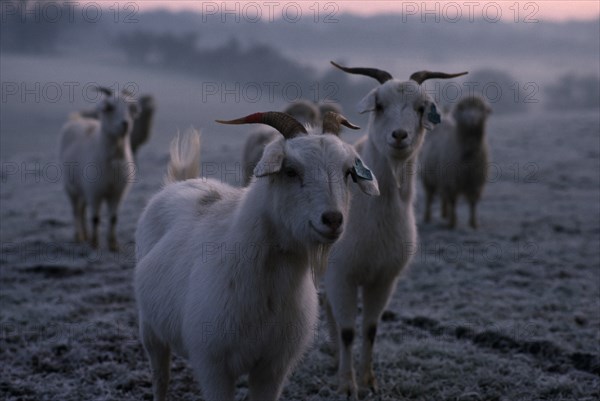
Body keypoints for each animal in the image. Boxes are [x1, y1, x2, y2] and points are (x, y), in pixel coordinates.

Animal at [59, 86, 138, 250]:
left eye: (130, 108)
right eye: (110, 107)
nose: (125, 124)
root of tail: (76, 120)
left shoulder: (117, 193)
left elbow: (114, 218)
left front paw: (113, 244)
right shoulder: (95, 192)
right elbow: (95, 218)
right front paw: (95, 243)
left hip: (83, 189)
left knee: (82, 210)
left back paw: (85, 235)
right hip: (71, 187)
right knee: (75, 211)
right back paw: (79, 236)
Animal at [135, 110, 380, 400]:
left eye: (346, 173)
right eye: (291, 170)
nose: (333, 220)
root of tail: (181, 181)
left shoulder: (272, 368)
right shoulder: (214, 367)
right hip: (150, 330)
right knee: (161, 377)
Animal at [326, 61, 466, 396]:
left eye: (420, 108)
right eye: (379, 105)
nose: (399, 135)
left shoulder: (383, 279)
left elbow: (371, 329)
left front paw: (369, 381)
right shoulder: (342, 275)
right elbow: (349, 331)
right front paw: (348, 386)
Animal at [422, 94, 492, 228]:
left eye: (480, 109)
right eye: (463, 109)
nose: (472, 119)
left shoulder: (476, 182)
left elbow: (473, 203)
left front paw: (474, 224)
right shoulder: (451, 182)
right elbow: (453, 202)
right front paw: (452, 223)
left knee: (443, 197)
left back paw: (444, 214)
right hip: (429, 178)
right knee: (429, 197)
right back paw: (427, 217)